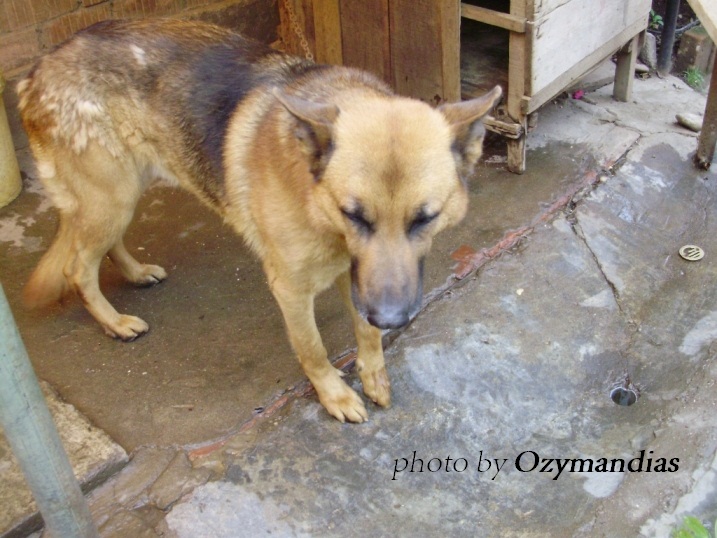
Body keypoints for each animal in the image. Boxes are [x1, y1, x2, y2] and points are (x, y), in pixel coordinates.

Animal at [16, 19, 498, 418]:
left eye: (425, 219)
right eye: (353, 215)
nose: (393, 319)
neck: (316, 202)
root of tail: (39, 66)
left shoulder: (359, 277)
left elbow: (365, 331)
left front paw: (373, 372)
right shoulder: (292, 289)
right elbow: (313, 349)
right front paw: (335, 396)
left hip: (125, 193)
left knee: (102, 247)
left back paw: (135, 273)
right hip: (109, 198)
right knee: (78, 267)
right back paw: (113, 322)